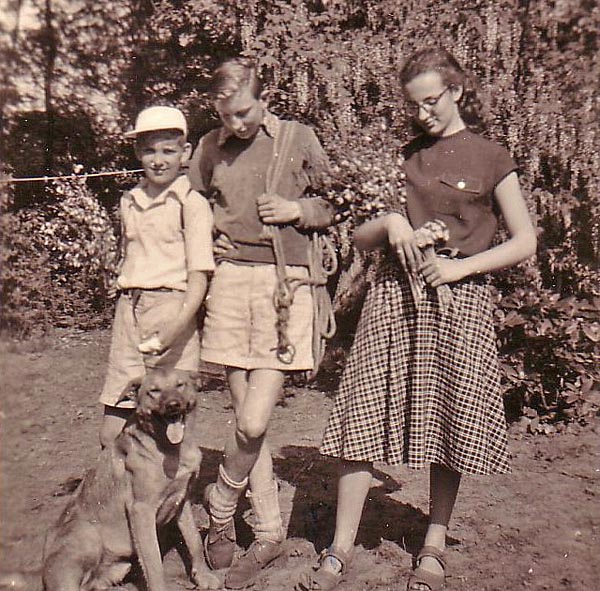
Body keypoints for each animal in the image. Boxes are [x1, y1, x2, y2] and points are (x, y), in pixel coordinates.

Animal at [42, 370, 220, 591]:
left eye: (180, 385)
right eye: (154, 391)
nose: (173, 405)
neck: (171, 449)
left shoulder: (181, 499)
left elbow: (193, 539)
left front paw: (203, 575)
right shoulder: (141, 510)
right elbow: (153, 563)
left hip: (116, 567)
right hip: (87, 532)